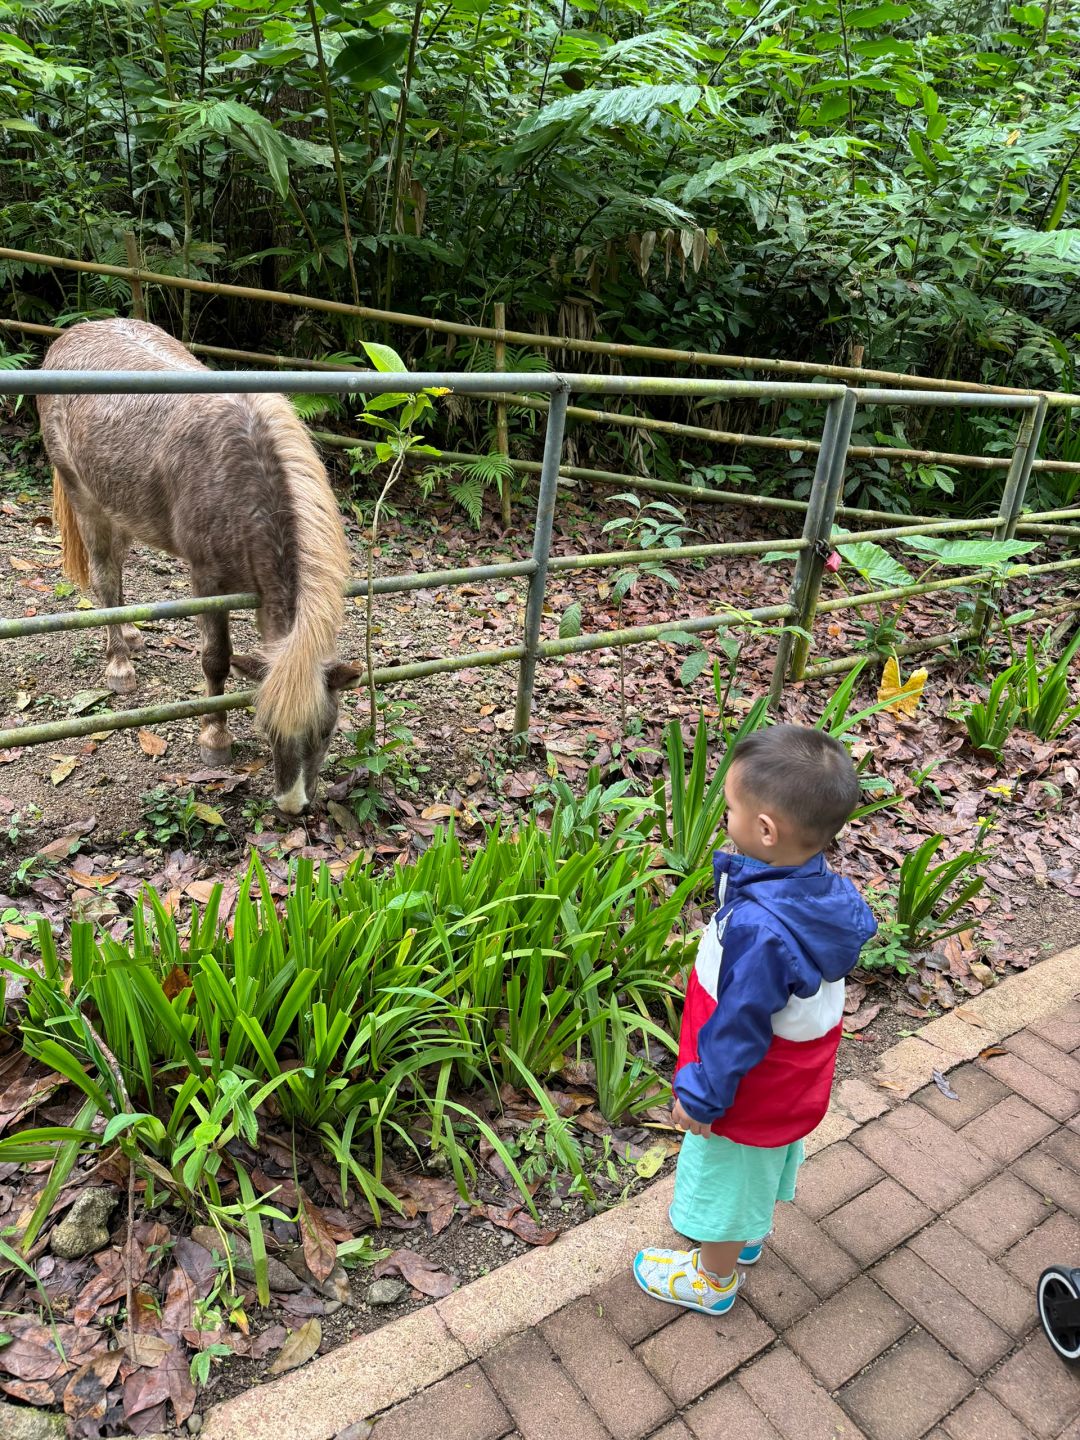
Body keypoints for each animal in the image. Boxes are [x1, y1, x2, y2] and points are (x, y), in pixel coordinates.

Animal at [38, 321, 357, 817]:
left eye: (326, 731)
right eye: (266, 729)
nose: (292, 806)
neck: (245, 486)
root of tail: (74, 334)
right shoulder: (207, 580)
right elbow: (216, 660)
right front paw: (215, 738)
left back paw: (131, 634)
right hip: (85, 500)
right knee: (105, 579)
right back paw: (119, 665)